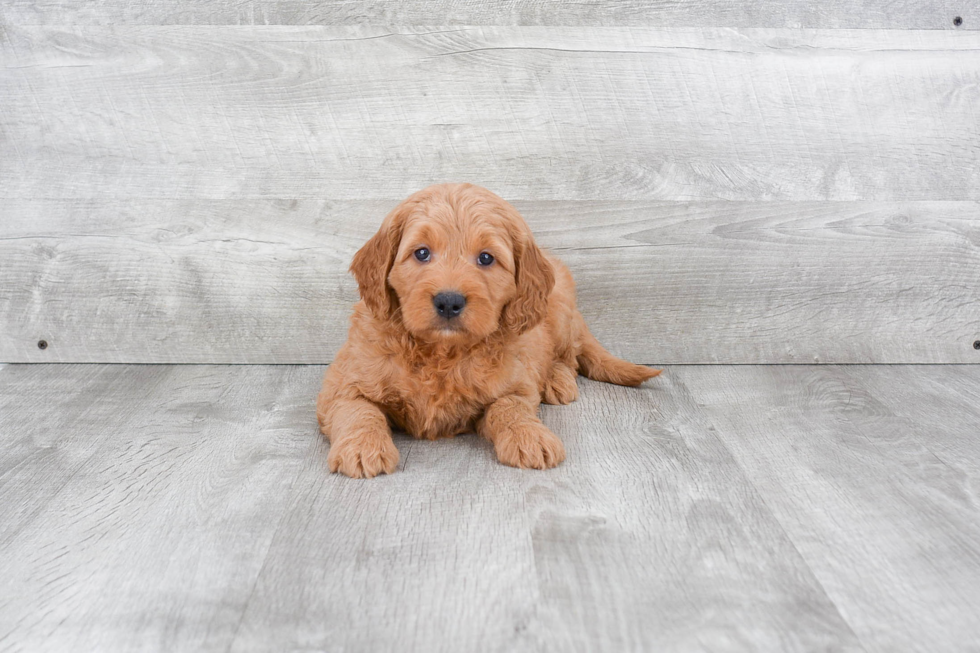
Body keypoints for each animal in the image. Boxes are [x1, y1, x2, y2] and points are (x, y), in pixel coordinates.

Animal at [318, 181, 664, 476]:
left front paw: (529, 436)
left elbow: (510, 407)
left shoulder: (515, 384)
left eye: (486, 258)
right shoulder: (342, 384)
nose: (448, 302)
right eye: (421, 253)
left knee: (568, 357)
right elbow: (359, 410)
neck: (442, 353)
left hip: (561, 307)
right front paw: (362, 447)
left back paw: (556, 380)